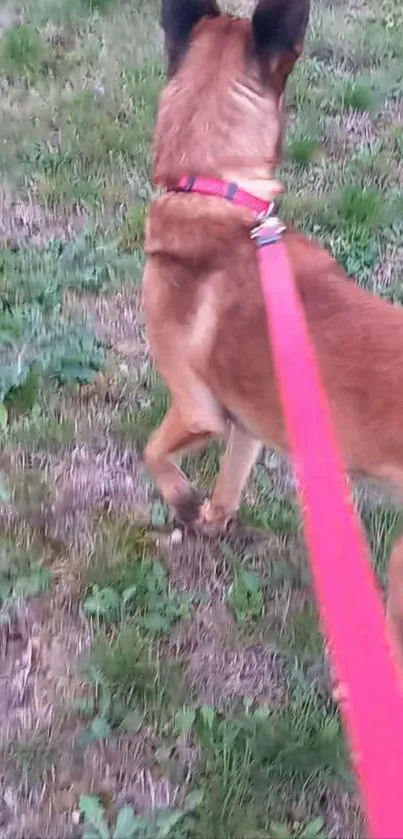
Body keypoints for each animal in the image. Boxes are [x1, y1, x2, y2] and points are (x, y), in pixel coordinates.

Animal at [144, 0, 403, 668]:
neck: (213, 191)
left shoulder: (196, 406)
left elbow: (154, 451)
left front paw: (182, 503)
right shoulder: (248, 426)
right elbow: (229, 485)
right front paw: (210, 521)